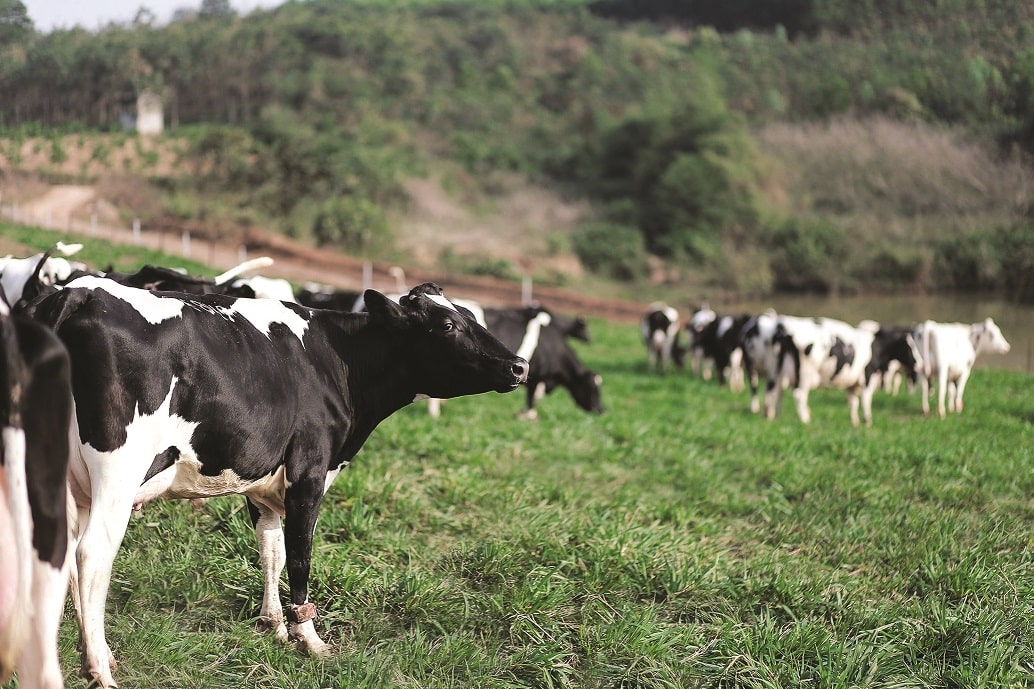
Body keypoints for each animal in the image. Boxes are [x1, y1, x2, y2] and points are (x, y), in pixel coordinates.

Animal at [27, 279, 528, 688]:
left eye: (469, 316)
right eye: (447, 324)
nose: (519, 366)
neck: (339, 361)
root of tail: (79, 292)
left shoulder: (265, 484)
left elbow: (272, 551)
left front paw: (274, 625)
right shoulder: (309, 471)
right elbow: (301, 556)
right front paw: (309, 637)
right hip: (118, 469)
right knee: (93, 554)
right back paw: (99, 668)